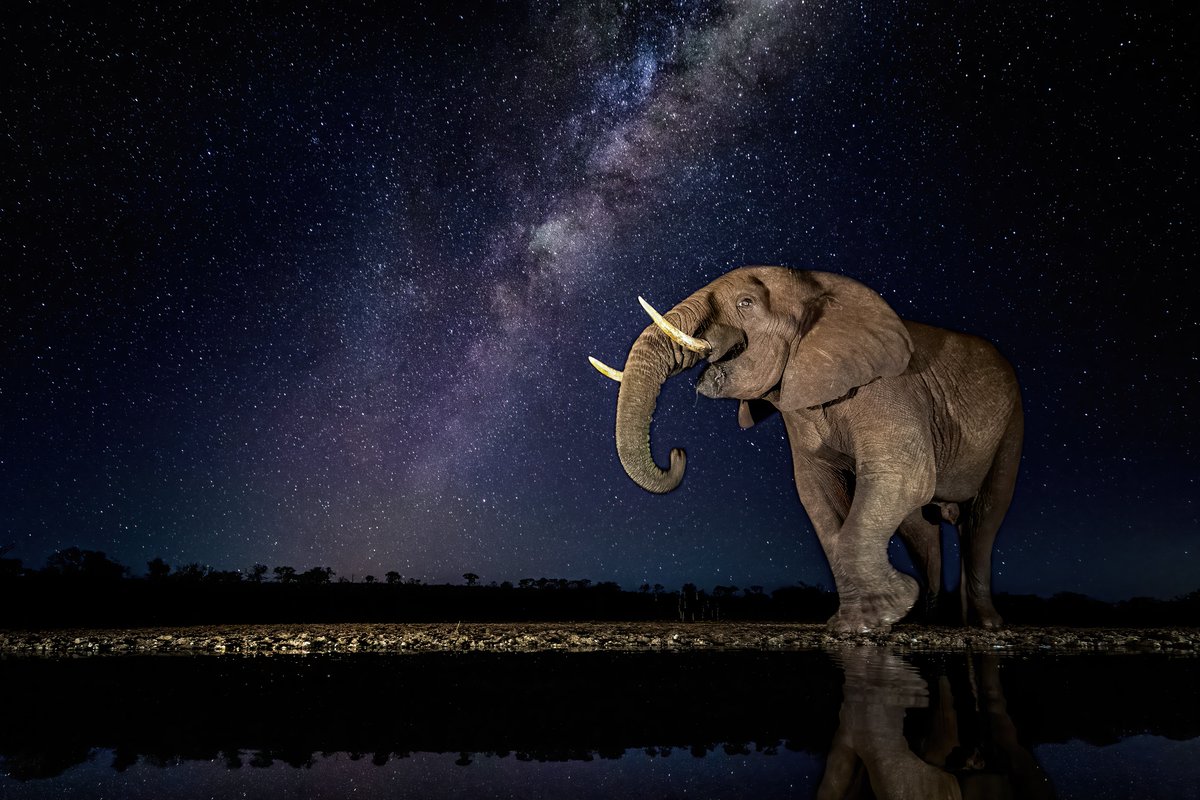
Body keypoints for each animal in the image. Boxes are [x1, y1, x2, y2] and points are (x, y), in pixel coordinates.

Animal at [590, 266, 1022, 632]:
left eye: (746, 303)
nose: (678, 453)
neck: (821, 290)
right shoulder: (799, 405)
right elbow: (818, 494)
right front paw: (863, 622)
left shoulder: (891, 388)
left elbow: (903, 477)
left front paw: (881, 614)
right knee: (921, 526)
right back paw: (929, 621)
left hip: (1012, 425)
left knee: (982, 520)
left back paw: (985, 625)